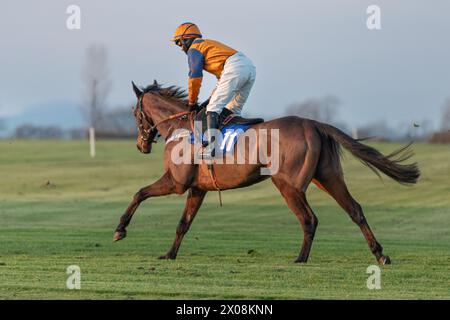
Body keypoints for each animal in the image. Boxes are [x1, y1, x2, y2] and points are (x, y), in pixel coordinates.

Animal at [111, 80, 418, 264]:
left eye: (134, 113)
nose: (140, 145)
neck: (181, 126)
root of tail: (315, 124)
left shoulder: (177, 183)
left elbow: (139, 193)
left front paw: (120, 229)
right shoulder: (198, 188)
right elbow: (183, 224)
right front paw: (169, 253)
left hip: (288, 185)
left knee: (309, 219)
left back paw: (300, 258)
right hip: (328, 177)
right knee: (355, 210)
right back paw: (380, 254)